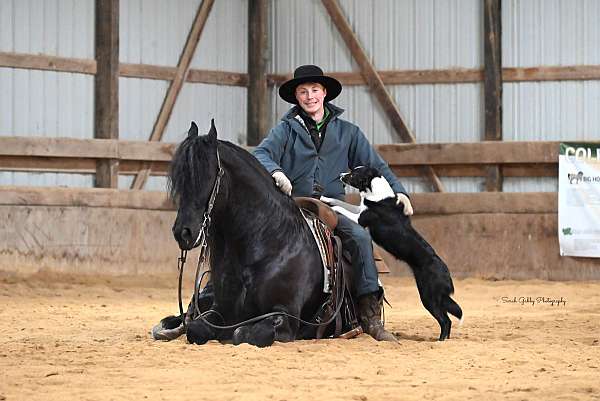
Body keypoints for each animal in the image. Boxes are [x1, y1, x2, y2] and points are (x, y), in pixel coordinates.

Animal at [156, 118, 332, 344]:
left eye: (207, 177)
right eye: (180, 179)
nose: (182, 232)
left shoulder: (285, 317)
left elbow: (243, 333)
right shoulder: (219, 311)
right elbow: (195, 329)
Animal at [326, 166, 462, 340]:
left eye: (353, 174)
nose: (340, 175)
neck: (376, 190)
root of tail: (447, 275)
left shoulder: (360, 218)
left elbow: (342, 208)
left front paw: (332, 207)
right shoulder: (359, 209)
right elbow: (341, 202)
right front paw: (325, 198)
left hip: (429, 297)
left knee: (445, 320)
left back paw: (441, 340)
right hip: (435, 298)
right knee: (447, 318)